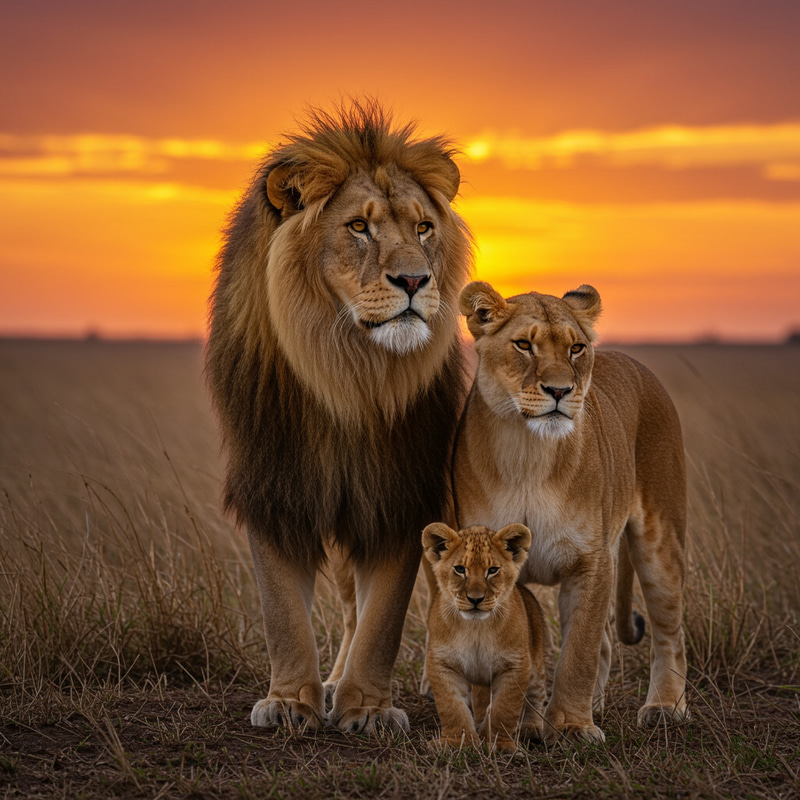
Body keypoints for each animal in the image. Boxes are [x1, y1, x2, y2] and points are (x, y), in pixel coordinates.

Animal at [206, 101, 472, 734]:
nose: (415, 280)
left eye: (423, 228)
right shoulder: (275, 483)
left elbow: (386, 619)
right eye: (358, 228)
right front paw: (290, 702)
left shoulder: (400, 491)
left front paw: (369, 708)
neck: (347, 372)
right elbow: (282, 611)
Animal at [422, 522, 549, 752]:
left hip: (536, 665)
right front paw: (457, 741)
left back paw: (531, 728)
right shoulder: (442, 663)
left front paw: (499, 744)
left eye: (492, 570)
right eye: (460, 569)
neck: (476, 629)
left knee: (537, 695)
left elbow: (504, 708)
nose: (475, 599)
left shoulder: (516, 665)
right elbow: (452, 706)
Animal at [453, 281, 689, 743]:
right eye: (524, 345)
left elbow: (578, 650)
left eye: (576, 348)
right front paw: (498, 721)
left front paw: (571, 726)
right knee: (607, 641)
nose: (561, 391)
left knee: (669, 631)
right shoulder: (490, 568)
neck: (528, 453)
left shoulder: (590, 562)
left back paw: (665, 708)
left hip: (660, 542)